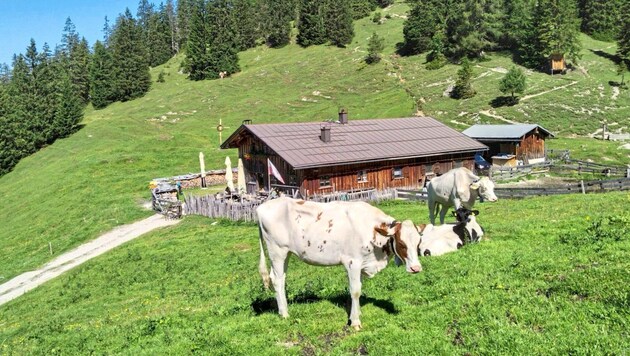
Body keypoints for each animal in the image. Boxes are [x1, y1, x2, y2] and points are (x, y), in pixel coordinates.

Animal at [256, 196, 424, 330]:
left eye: (418, 242)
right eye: (401, 243)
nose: (416, 268)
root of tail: (262, 207)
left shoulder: (362, 263)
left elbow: (359, 289)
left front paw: (356, 312)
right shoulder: (352, 262)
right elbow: (355, 291)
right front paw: (355, 321)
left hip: (286, 253)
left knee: (279, 278)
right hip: (277, 251)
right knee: (277, 280)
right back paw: (284, 313)